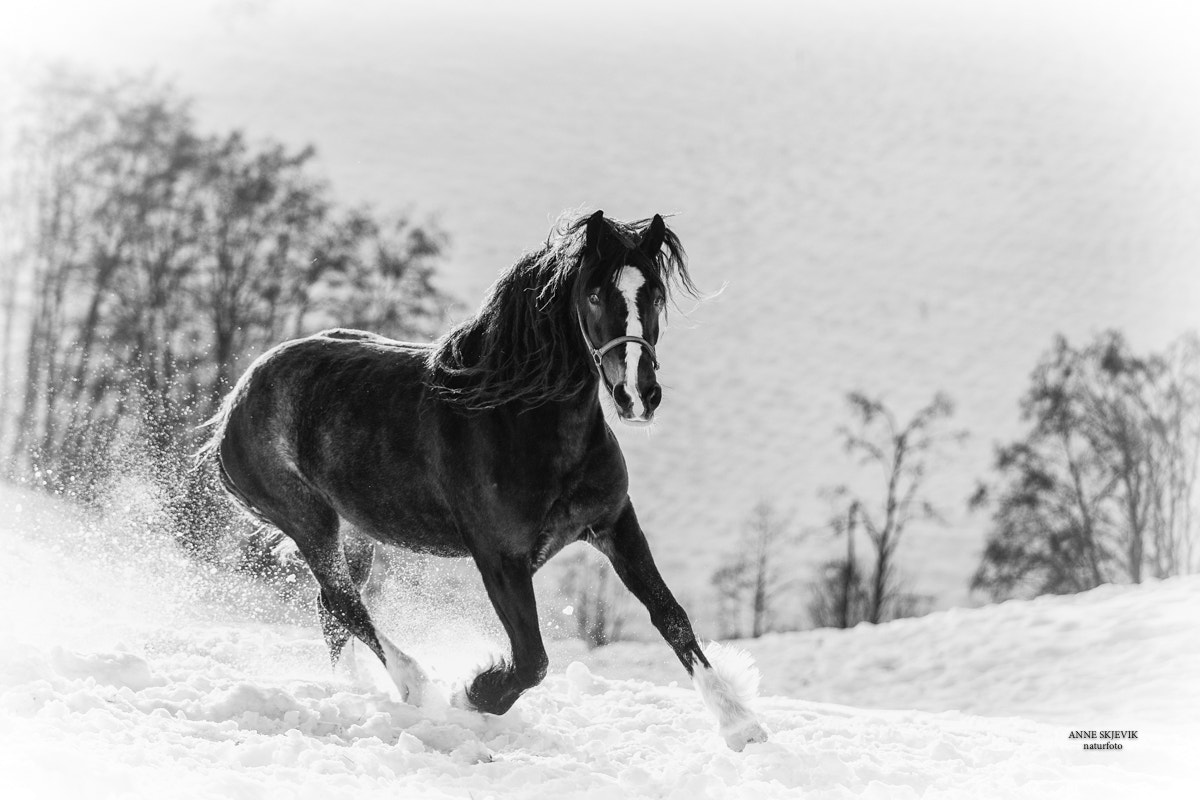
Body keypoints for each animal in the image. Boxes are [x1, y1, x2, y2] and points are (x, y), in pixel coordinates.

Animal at [198, 210, 768, 750]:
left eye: (654, 293)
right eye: (595, 293)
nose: (637, 394)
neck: (520, 418)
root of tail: (238, 398)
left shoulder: (614, 525)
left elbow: (671, 616)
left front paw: (740, 725)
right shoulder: (499, 554)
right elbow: (532, 658)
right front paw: (474, 695)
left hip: (355, 532)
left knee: (331, 609)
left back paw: (358, 689)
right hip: (309, 520)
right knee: (343, 602)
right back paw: (414, 685)